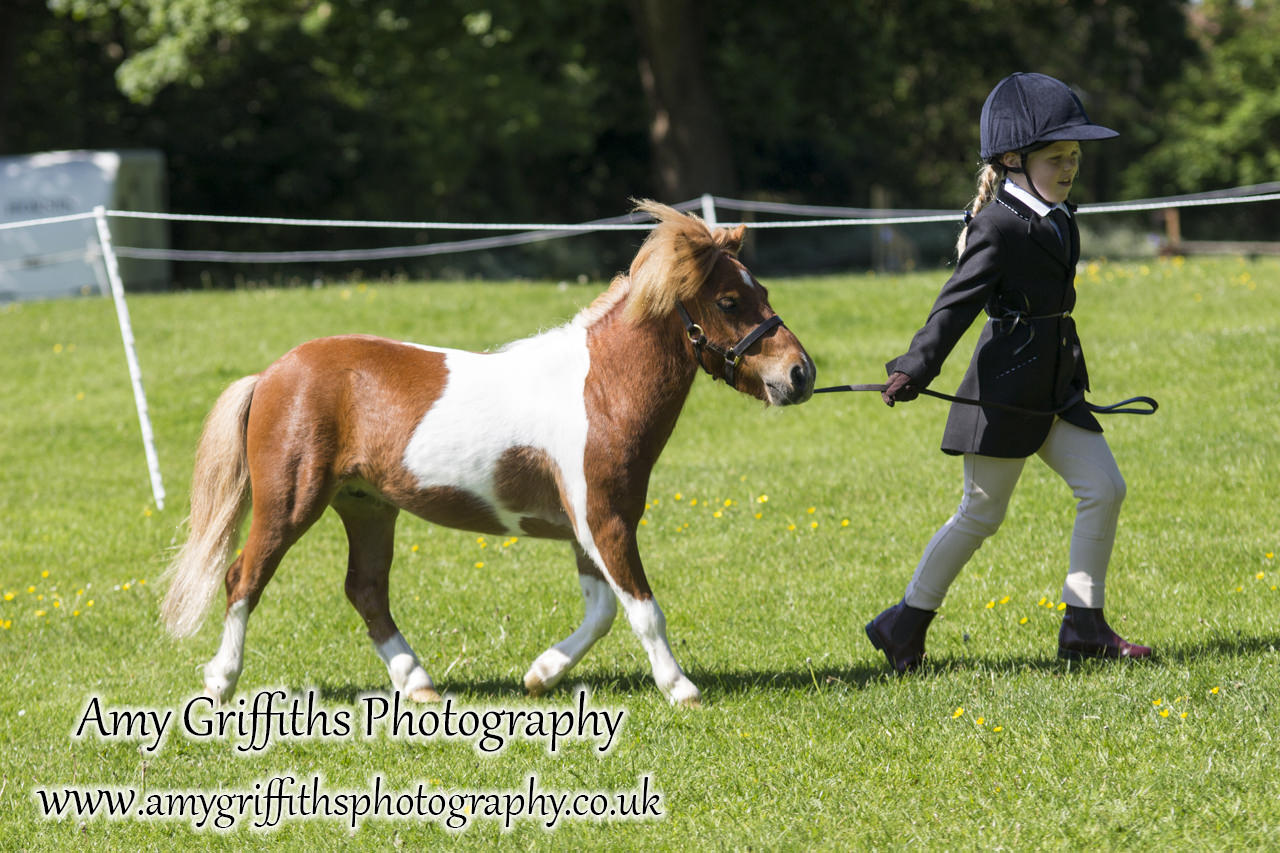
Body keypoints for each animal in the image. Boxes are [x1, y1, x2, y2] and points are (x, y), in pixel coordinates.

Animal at [160, 201, 814, 701]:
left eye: (762, 290)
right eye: (729, 302)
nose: (800, 374)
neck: (600, 389)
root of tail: (271, 374)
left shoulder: (589, 527)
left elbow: (602, 612)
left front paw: (541, 675)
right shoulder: (604, 520)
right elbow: (642, 610)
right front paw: (682, 690)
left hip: (367, 506)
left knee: (365, 590)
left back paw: (419, 685)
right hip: (290, 502)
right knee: (243, 578)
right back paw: (220, 683)